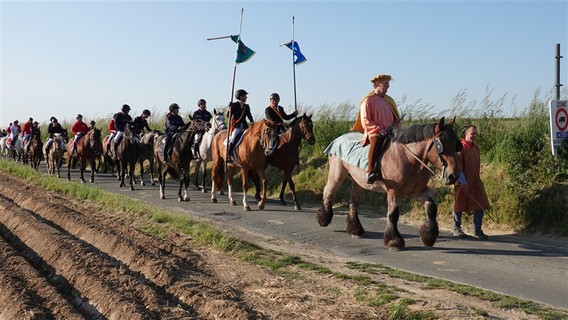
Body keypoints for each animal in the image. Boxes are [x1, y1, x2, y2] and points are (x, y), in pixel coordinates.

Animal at [318, 117, 464, 250]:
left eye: (456, 145)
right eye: (441, 145)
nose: (453, 176)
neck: (408, 158)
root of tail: (338, 139)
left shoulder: (418, 192)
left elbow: (431, 208)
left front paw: (428, 236)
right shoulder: (393, 191)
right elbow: (393, 214)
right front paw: (394, 241)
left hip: (358, 182)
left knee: (353, 202)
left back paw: (355, 230)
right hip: (337, 175)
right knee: (328, 192)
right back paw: (324, 218)